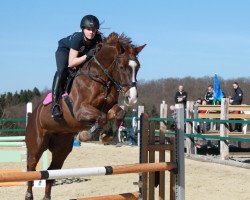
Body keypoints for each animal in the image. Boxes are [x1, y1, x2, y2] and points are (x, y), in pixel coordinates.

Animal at [24, 32, 146, 199]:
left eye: (138, 67)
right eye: (121, 67)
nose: (132, 98)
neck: (100, 78)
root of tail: (33, 113)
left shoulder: (109, 108)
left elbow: (117, 113)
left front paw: (108, 135)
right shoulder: (79, 111)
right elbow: (101, 117)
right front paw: (87, 134)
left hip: (62, 148)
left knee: (51, 172)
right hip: (36, 144)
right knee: (31, 167)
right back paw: (29, 194)